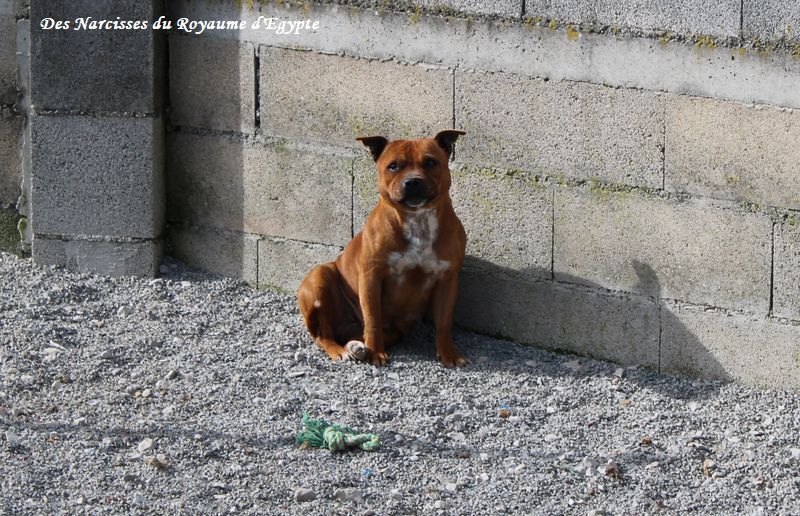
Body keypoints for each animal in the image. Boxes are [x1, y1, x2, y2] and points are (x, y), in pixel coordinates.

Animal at [296, 131, 466, 368]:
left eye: (431, 162)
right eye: (393, 166)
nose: (413, 181)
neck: (417, 220)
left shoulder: (447, 279)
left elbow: (444, 323)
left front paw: (448, 354)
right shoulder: (371, 276)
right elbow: (373, 318)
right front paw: (376, 352)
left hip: (394, 330)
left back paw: (356, 346)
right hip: (320, 277)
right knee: (323, 335)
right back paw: (342, 350)